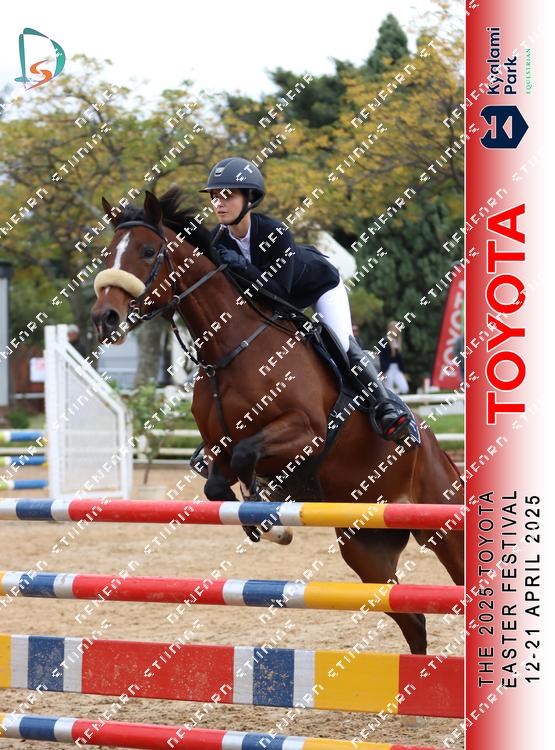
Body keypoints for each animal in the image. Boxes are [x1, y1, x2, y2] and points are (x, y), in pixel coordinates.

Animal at [91, 187, 464, 654]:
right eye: (108, 253)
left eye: (147, 251)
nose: (104, 317)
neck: (230, 350)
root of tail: (440, 452)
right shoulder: (217, 447)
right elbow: (217, 485)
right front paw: (266, 521)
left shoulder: (305, 434)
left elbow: (249, 455)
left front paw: (271, 517)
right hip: (366, 547)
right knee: (413, 620)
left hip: (445, 526)